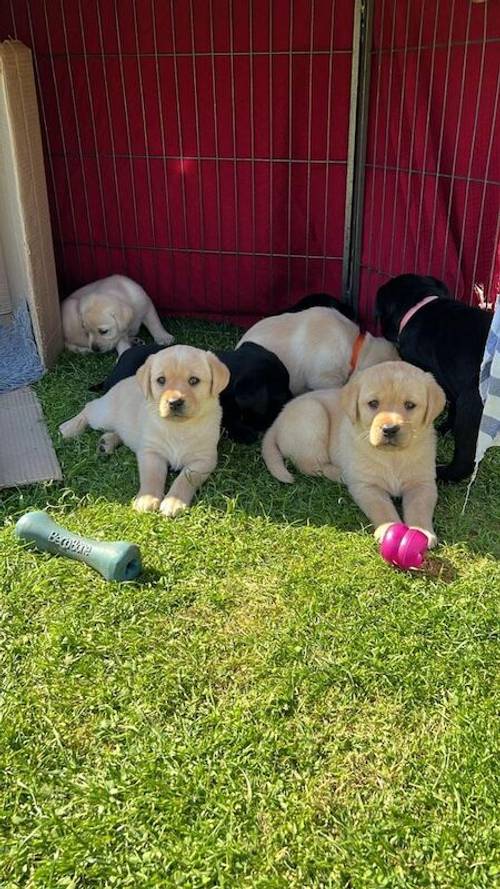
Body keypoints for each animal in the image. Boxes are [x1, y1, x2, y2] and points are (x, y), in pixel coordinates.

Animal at [59, 346, 229, 516]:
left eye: (194, 380)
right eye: (161, 380)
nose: (174, 402)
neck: (177, 427)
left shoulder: (203, 460)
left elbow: (186, 479)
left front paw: (174, 501)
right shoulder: (151, 452)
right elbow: (152, 476)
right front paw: (147, 499)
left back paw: (106, 443)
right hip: (103, 416)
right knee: (89, 407)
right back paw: (68, 428)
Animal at [262, 362, 446, 544]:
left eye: (410, 405)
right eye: (373, 403)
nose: (389, 429)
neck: (392, 456)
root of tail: (276, 422)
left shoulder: (422, 483)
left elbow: (420, 508)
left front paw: (421, 531)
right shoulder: (366, 486)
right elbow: (382, 509)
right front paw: (388, 528)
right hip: (313, 415)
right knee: (309, 465)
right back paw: (340, 474)